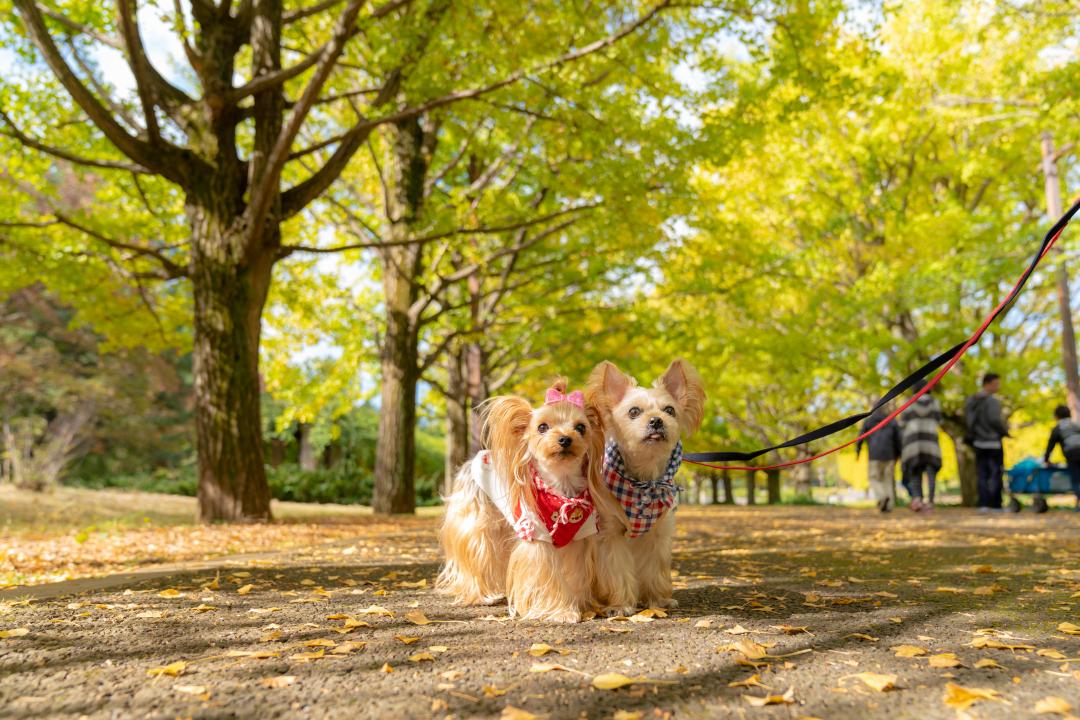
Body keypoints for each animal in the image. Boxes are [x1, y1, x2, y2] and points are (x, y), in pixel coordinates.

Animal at [587, 358, 704, 613]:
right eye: (634, 411)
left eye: (669, 410)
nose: (656, 420)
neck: (643, 481)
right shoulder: (610, 535)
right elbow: (617, 571)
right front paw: (621, 605)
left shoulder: (658, 534)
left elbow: (655, 569)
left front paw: (658, 600)